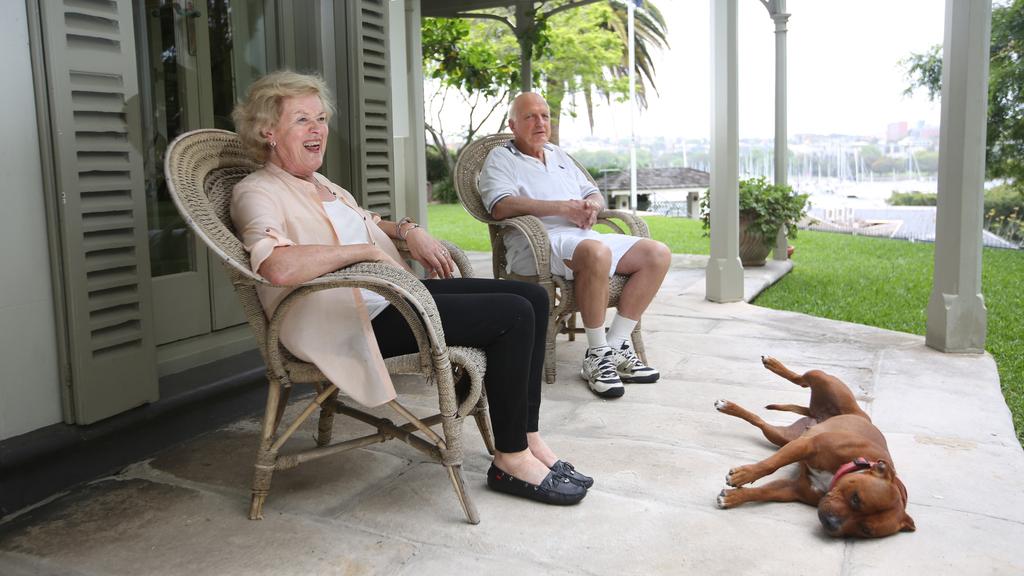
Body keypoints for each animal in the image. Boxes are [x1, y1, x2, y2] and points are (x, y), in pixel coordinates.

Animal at [716, 354, 917, 537]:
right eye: (856, 498)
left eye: (865, 530)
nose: (831, 523)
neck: (852, 465)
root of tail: (814, 413)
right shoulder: (806, 446)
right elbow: (770, 465)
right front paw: (742, 475)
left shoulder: (792, 489)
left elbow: (762, 492)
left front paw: (733, 497)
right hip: (823, 380)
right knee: (801, 380)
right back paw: (769, 367)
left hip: (782, 436)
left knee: (759, 421)